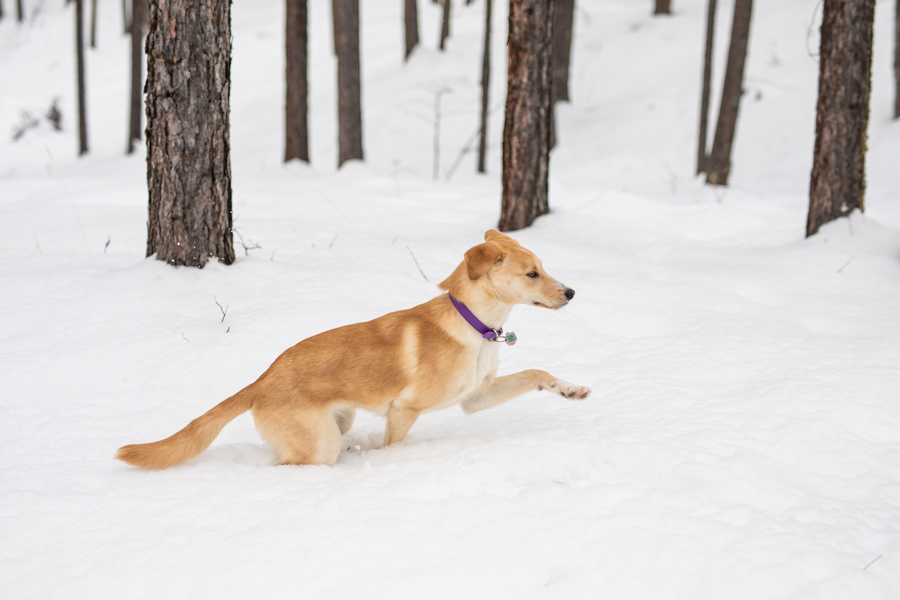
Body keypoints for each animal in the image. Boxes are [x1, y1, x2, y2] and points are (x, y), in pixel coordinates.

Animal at [118, 230, 592, 468]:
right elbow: (393, 445)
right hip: (321, 442)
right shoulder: (405, 408)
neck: (472, 325)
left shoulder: (474, 397)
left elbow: (536, 373)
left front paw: (571, 389)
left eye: (543, 268)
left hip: (340, 421)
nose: (572, 292)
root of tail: (259, 382)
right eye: (532, 274)